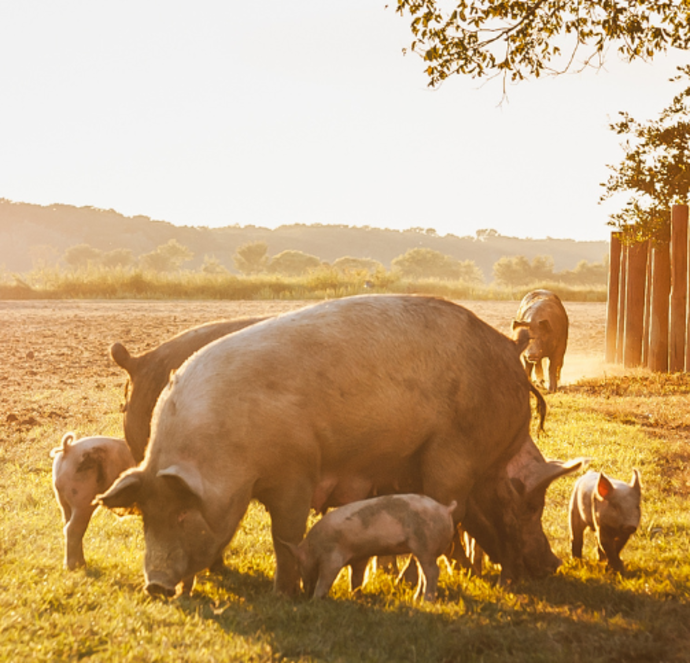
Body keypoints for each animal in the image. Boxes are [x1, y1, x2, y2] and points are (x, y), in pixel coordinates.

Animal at [51, 436, 136, 572]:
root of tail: (68, 448)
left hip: (64, 502)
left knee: (68, 526)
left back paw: (80, 564)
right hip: (82, 502)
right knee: (72, 529)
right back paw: (73, 567)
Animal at [282, 492, 454, 600]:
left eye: (298, 566)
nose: (305, 594)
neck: (314, 547)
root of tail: (445, 509)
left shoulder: (332, 556)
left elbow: (327, 577)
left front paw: (316, 599)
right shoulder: (360, 556)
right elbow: (357, 577)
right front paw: (356, 597)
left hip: (425, 544)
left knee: (433, 571)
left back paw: (426, 601)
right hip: (423, 548)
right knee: (424, 573)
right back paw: (416, 599)